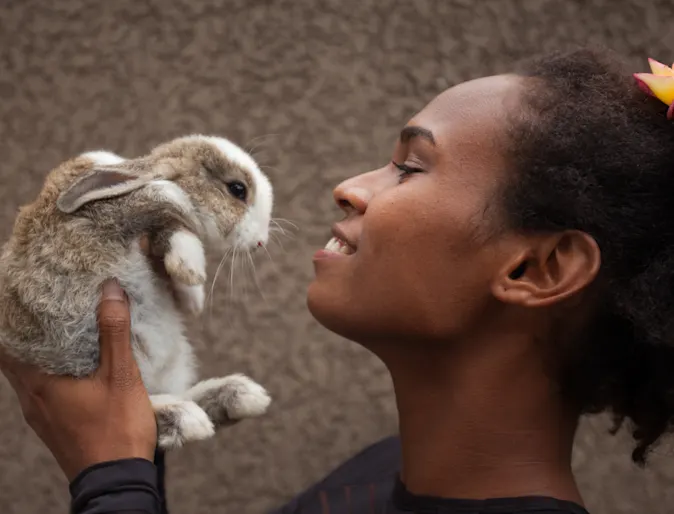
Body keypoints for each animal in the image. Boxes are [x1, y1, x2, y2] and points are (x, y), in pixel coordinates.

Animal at [0, 133, 272, 448]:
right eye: (237, 189)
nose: (261, 242)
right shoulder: (100, 218)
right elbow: (159, 198)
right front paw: (191, 265)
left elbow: (169, 226)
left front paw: (192, 291)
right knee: (151, 412)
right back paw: (186, 417)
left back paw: (240, 396)